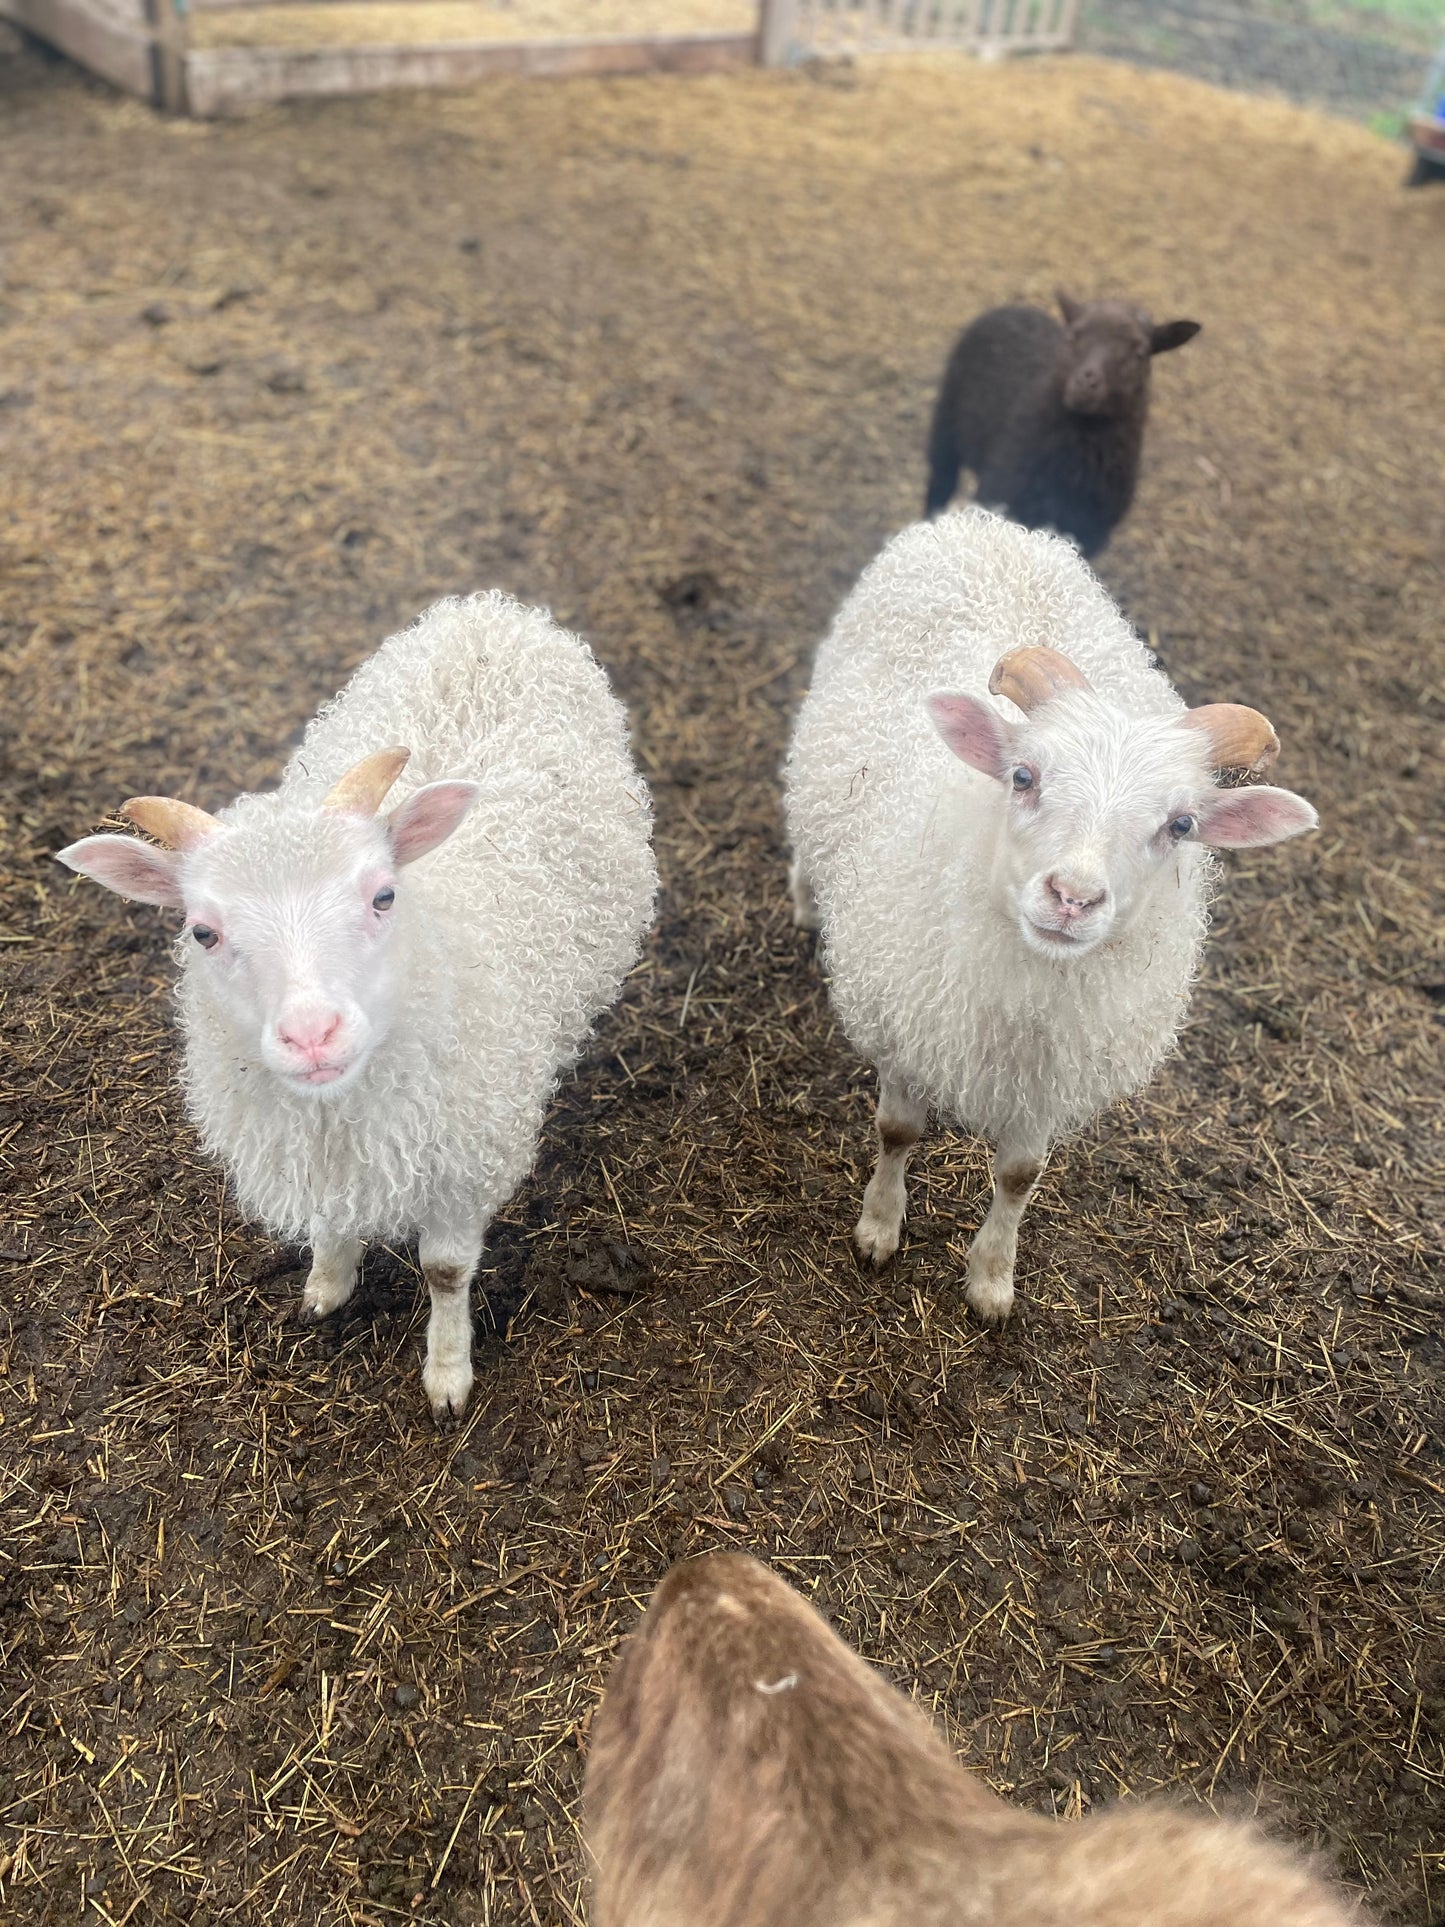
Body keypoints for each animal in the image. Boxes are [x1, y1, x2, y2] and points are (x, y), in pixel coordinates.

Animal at [58, 591, 657, 1421]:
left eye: (382, 895)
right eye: (202, 931)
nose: (313, 1033)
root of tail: (487, 610)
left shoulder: (461, 1158)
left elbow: (445, 1270)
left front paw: (446, 1373)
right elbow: (330, 1219)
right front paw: (327, 1282)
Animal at [782, 508, 1317, 1326]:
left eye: (1183, 825)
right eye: (1023, 776)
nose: (1072, 897)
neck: (1030, 983)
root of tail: (988, 522)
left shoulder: (1050, 1072)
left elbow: (1020, 1176)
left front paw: (991, 1279)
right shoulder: (904, 1021)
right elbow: (897, 1131)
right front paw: (878, 1227)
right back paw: (810, 900)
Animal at [924, 292, 1201, 557]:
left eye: (1140, 352)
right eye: (1073, 335)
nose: (1086, 381)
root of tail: (1015, 306)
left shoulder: (1089, 533)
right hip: (945, 428)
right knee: (939, 485)